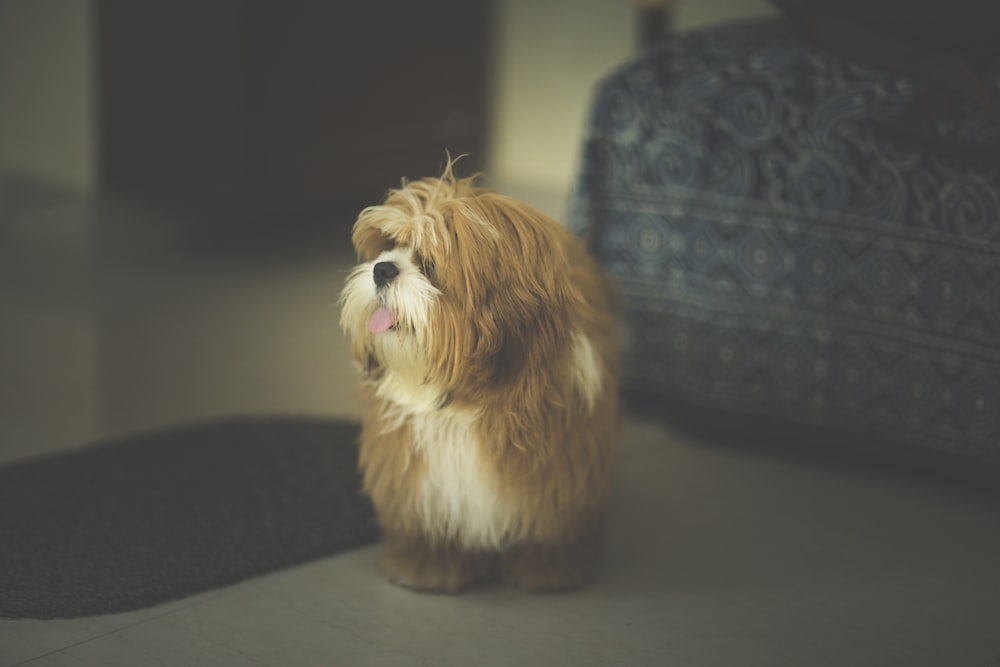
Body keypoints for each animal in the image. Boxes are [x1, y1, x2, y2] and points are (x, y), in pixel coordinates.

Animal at [338, 163, 616, 596]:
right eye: (389, 246)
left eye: (430, 263)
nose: (382, 269)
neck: (464, 402)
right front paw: (426, 567)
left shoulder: (559, 472)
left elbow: (550, 531)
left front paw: (548, 570)